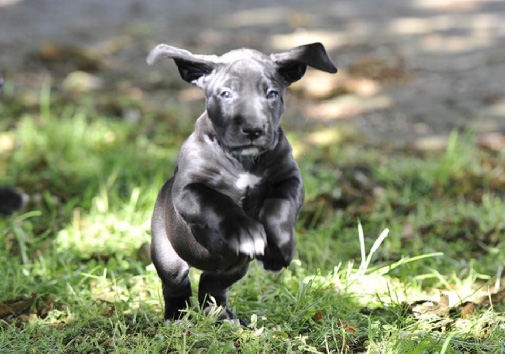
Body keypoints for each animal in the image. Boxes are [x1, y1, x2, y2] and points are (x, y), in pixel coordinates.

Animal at [148, 42, 336, 322]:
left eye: (271, 94)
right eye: (226, 94)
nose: (253, 129)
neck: (243, 161)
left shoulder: (290, 180)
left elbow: (279, 207)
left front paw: (279, 246)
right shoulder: (188, 191)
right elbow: (217, 202)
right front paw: (245, 231)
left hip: (234, 268)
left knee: (212, 285)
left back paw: (221, 316)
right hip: (168, 254)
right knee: (176, 284)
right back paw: (176, 317)